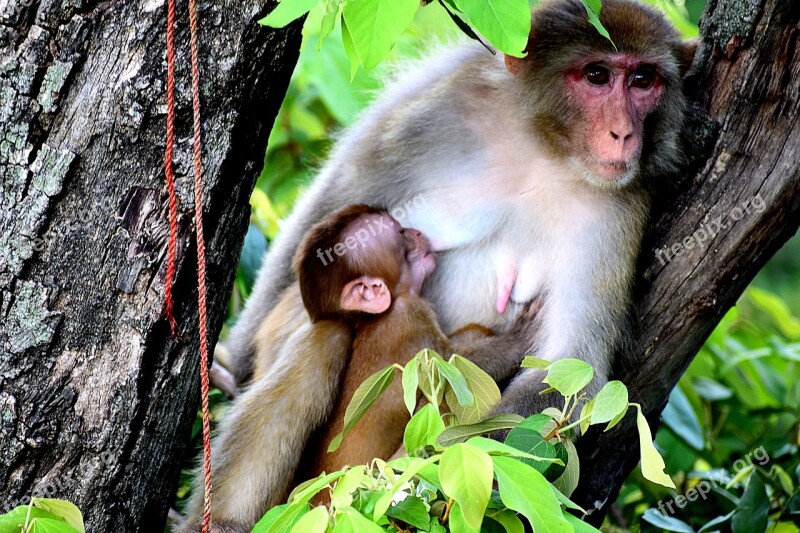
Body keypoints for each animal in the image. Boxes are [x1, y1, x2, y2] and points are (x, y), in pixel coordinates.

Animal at [189, 1, 692, 528]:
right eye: (597, 75)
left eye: (642, 80)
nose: (624, 133)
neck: (545, 147)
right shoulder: (441, 102)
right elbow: (338, 197)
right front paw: (234, 366)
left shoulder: (619, 205)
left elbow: (568, 369)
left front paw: (410, 483)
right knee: (322, 332)